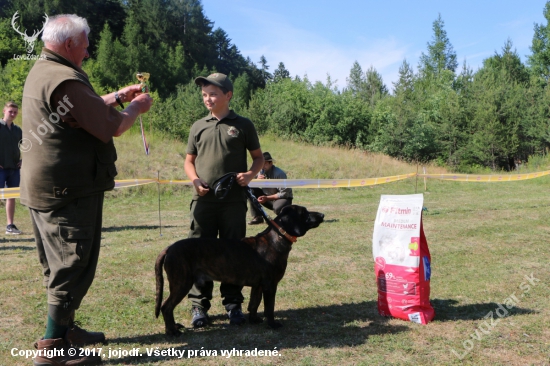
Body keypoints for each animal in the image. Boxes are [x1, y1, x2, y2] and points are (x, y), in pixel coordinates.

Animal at [155, 204, 326, 336]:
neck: (277, 237)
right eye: (304, 213)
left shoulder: (258, 286)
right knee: (166, 307)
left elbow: (254, 304)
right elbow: (269, 307)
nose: (322, 214)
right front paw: (272, 324)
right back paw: (172, 331)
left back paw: (174, 327)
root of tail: (169, 248)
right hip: (181, 283)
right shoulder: (270, 285)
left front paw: (254, 320)